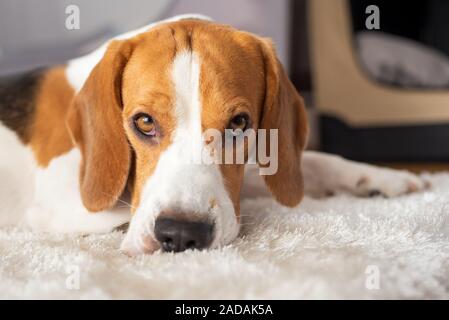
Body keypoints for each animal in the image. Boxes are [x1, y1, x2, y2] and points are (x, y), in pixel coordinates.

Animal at [0, 15, 428, 255]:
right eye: (143, 122)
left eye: (238, 123)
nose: (180, 235)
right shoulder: (59, 201)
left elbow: (311, 162)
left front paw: (380, 177)